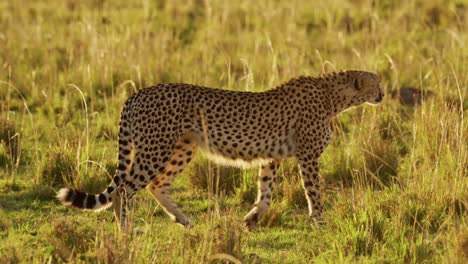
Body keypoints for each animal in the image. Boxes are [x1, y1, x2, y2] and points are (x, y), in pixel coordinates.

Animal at [58, 69, 382, 231]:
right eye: (376, 83)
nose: (382, 94)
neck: (333, 97)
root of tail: (138, 93)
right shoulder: (308, 155)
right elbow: (313, 191)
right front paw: (320, 222)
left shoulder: (272, 157)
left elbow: (266, 193)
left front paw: (252, 219)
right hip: (155, 150)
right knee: (125, 189)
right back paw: (126, 229)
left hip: (182, 148)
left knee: (156, 185)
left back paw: (184, 220)